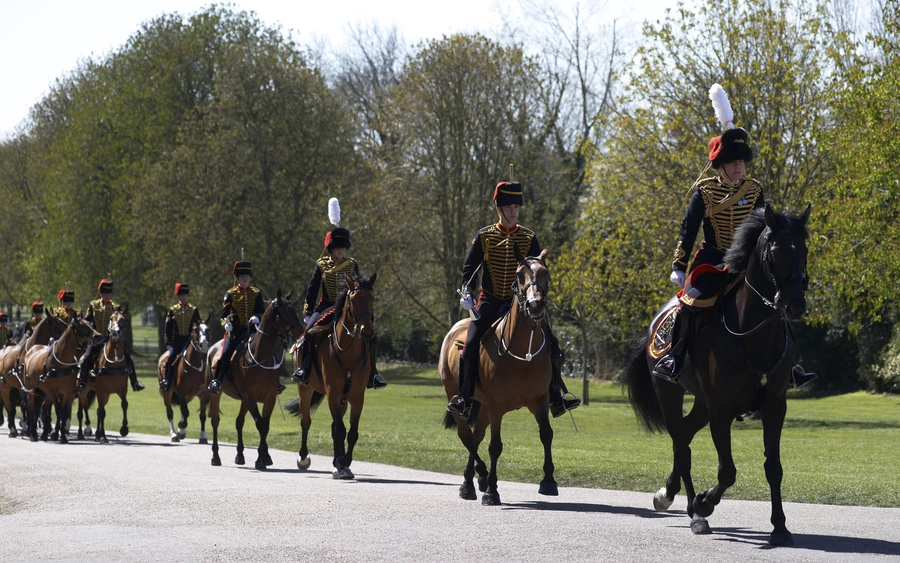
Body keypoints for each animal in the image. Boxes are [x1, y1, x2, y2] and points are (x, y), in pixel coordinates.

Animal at [21, 318, 101, 446]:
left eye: (91, 324)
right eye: (82, 325)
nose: (98, 336)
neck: (61, 362)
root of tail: (33, 349)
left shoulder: (68, 393)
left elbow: (64, 413)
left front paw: (62, 436)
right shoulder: (52, 392)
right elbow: (59, 411)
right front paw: (58, 435)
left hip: (41, 391)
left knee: (38, 408)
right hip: (31, 389)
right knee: (32, 408)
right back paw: (33, 433)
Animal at [205, 290, 300, 472]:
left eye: (294, 310)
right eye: (284, 312)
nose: (301, 332)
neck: (259, 355)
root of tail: (213, 348)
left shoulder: (268, 398)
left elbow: (265, 425)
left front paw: (264, 457)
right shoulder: (250, 397)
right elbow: (260, 424)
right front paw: (261, 460)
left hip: (243, 399)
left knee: (239, 422)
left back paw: (240, 455)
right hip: (217, 394)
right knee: (215, 421)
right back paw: (215, 457)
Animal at [284, 274, 376, 480]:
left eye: (372, 299)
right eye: (353, 300)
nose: (367, 332)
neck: (348, 351)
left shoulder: (357, 396)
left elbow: (351, 432)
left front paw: (344, 464)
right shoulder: (332, 392)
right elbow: (340, 430)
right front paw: (342, 465)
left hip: (342, 399)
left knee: (334, 426)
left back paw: (336, 463)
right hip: (305, 390)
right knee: (306, 421)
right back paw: (304, 459)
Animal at [436, 249, 556, 504]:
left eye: (545, 272)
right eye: (519, 274)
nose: (535, 305)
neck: (522, 351)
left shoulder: (539, 401)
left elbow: (546, 435)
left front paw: (549, 481)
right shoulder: (497, 406)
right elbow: (495, 446)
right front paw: (492, 491)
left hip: (483, 404)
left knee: (476, 435)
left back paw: (470, 482)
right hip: (455, 395)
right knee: (466, 435)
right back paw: (480, 476)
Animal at [624, 206, 812, 548]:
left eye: (803, 250)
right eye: (774, 252)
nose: (795, 305)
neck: (753, 334)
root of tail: (659, 318)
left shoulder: (774, 405)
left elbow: (773, 467)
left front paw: (780, 527)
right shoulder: (721, 410)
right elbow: (727, 472)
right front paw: (704, 502)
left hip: (701, 403)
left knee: (684, 435)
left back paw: (675, 496)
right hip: (670, 392)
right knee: (682, 445)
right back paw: (691, 511)